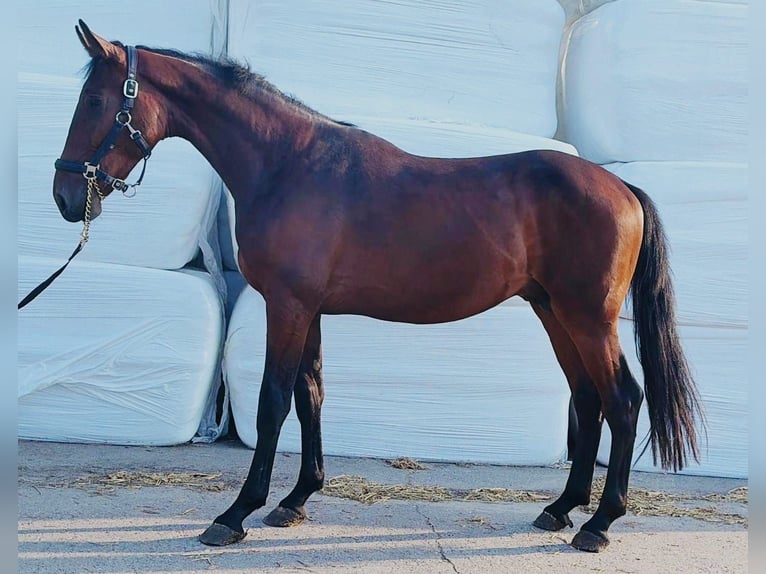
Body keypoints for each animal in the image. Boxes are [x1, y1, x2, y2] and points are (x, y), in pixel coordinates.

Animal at [52, 21, 705, 553]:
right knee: (589, 400)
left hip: (587, 317)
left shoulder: (287, 307)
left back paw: (599, 524)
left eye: (95, 99)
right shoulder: (308, 310)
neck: (287, 164)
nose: (65, 196)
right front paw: (295, 501)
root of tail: (622, 190)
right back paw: (561, 509)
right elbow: (310, 395)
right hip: (555, 312)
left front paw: (236, 513)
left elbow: (272, 402)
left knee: (622, 400)